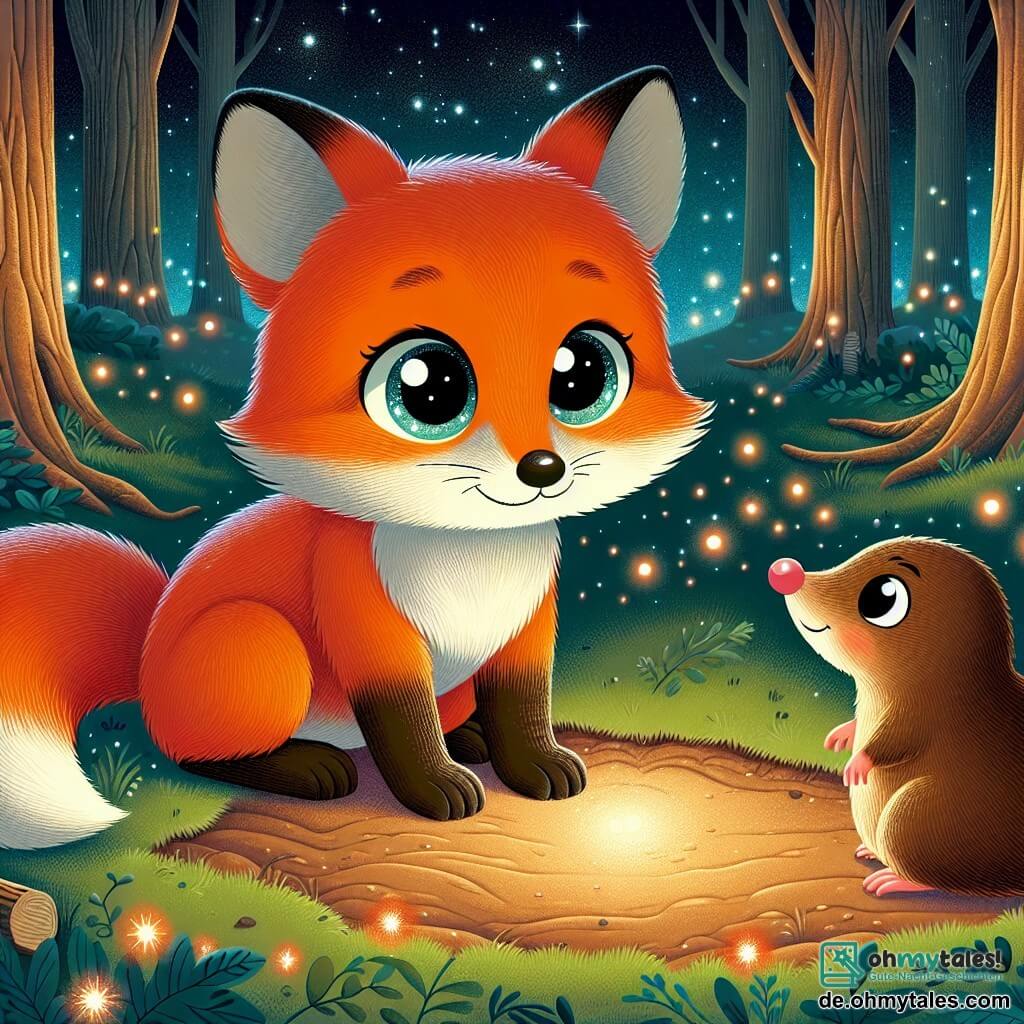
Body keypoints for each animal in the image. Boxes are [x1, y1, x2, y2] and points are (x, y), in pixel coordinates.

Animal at [0, 67, 710, 849]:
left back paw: (469, 742)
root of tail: (147, 649)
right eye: (427, 387)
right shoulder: (368, 628)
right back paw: (308, 767)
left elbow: (523, 708)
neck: (472, 558)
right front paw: (433, 789)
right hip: (262, 648)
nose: (543, 470)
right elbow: (401, 724)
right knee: (198, 756)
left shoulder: (526, 630)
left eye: (583, 372)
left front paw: (532, 764)